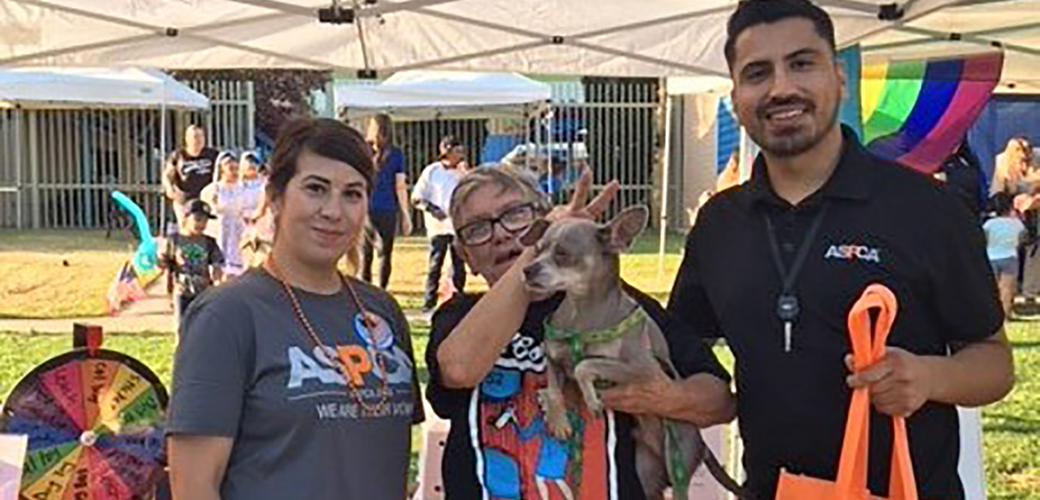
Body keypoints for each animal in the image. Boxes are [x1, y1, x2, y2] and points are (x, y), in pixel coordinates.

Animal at [524, 204, 744, 498]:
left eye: (562, 254)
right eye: (537, 249)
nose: (527, 270)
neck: (580, 315)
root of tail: (702, 446)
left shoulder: (641, 370)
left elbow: (585, 365)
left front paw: (591, 399)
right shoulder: (554, 357)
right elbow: (554, 386)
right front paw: (559, 420)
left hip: (678, 462)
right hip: (647, 472)